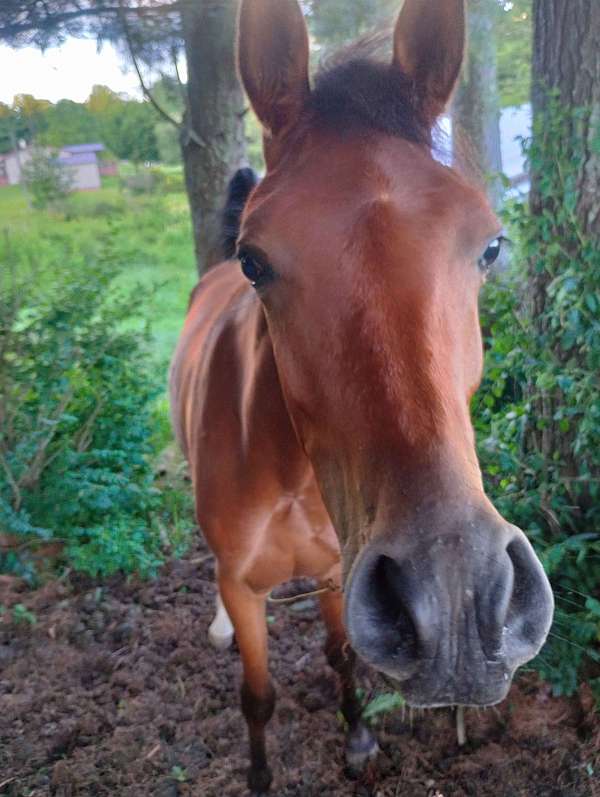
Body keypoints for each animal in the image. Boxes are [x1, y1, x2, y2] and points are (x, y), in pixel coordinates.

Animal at [169, 0, 554, 792]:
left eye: (491, 246)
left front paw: (358, 741)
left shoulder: (336, 576)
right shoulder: (247, 589)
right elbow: (258, 694)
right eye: (255, 260)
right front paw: (261, 775)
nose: (455, 598)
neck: (287, 475)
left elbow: (342, 655)